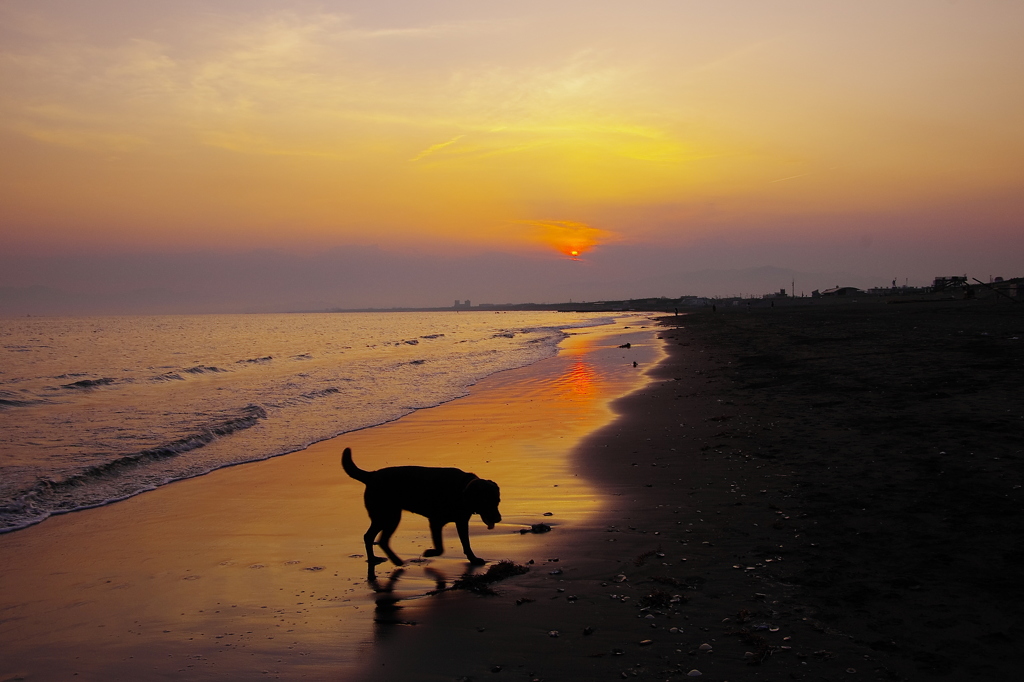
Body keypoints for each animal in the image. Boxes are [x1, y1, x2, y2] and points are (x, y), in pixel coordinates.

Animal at [342, 446, 501, 561]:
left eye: (498, 501)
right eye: (487, 502)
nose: (499, 519)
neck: (462, 490)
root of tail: (372, 475)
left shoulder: (461, 522)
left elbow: (466, 543)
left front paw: (473, 559)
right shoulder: (436, 521)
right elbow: (440, 547)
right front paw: (430, 553)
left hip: (387, 517)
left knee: (377, 539)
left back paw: (385, 559)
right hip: (387, 516)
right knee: (374, 538)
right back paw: (383, 560)